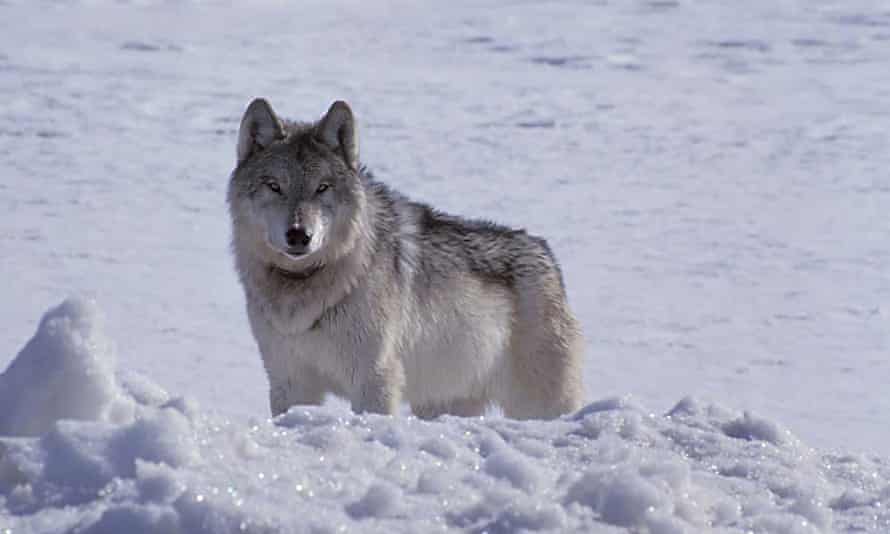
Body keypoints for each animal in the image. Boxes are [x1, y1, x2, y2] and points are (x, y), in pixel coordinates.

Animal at [228, 99, 584, 419]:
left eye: (322, 188)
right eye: (274, 186)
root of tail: (546, 253)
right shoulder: (289, 382)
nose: (299, 235)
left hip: (538, 405)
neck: (304, 285)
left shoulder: (374, 379)